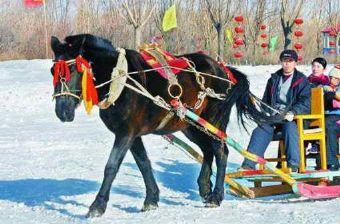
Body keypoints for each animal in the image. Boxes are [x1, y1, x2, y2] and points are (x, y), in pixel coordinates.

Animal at [50, 33, 278, 217]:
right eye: (53, 70)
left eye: (73, 68)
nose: (62, 112)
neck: (121, 82)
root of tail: (223, 69)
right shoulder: (133, 135)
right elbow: (144, 164)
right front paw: (151, 199)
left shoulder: (126, 133)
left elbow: (111, 166)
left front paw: (97, 206)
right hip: (191, 125)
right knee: (207, 151)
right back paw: (205, 188)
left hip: (214, 120)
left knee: (221, 152)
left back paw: (216, 196)